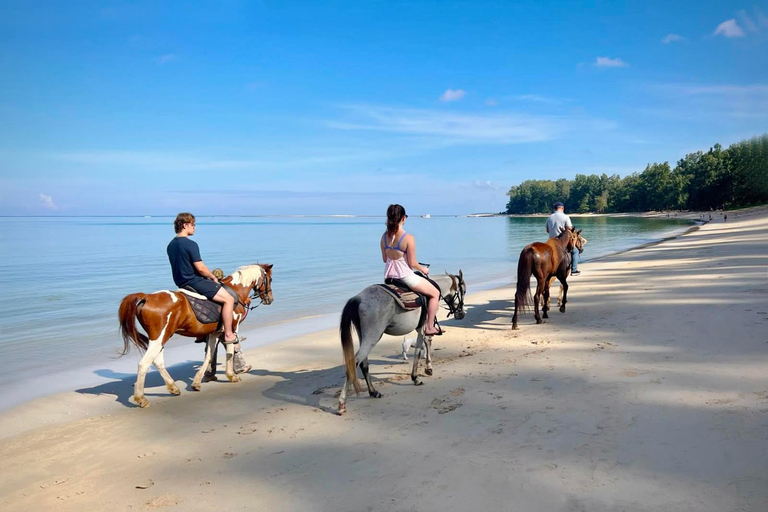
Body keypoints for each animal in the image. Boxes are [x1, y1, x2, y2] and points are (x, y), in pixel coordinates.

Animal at [117, 264, 272, 408]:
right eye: (269, 279)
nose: (270, 299)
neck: (236, 291)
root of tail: (147, 297)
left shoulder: (214, 333)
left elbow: (209, 355)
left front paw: (197, 382)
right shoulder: (232, 330)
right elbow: (230, 351)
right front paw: (231, 375)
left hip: (161, 338)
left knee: (157, 362)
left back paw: (172, 387)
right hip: (159, 338)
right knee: (144, 364)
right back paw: (141, 398)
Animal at [340, 270, 464, 414]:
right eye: (464, 291)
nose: (461, 314)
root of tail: (358, 298)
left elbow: (425, 345)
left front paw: (426, 369)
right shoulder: (423, 327)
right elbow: (421, 347)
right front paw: (418, 375)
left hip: (364, 337)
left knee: (363, 364)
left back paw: (373, 392)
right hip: (372, 336)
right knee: (354, 363)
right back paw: (342, 403)